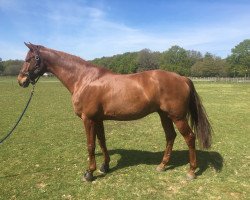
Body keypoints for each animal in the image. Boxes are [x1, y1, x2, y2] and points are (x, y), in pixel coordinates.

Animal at [18, 43, 212, 182]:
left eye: (30, 58)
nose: (21, 80)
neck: (85, 79)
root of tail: (182, 78)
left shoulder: (88, 119)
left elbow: (90, 145)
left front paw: (89, 173)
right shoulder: (98, 119)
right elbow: (102, 142)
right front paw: (105, 166)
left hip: (177, 117)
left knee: (189, 137)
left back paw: (191, 171)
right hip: (164, 115)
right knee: (170, 136)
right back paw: (162, 165)